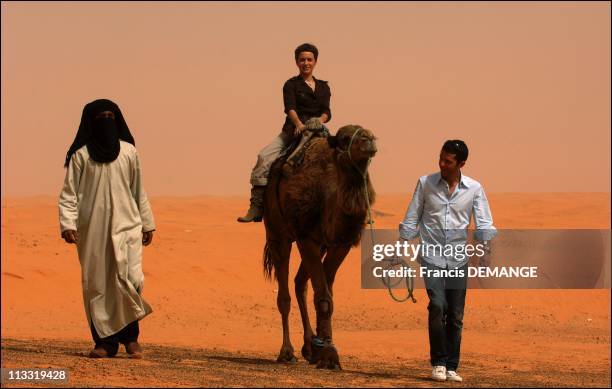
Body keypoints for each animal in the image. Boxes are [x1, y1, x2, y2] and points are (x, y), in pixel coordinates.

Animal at [260, 125, 376, 370]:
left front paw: (326, 349)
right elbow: (323, 297)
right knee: (284, 294)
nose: (368, 139)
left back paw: (309, 348)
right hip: (277, 233)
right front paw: (329, 355)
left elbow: (327, 294)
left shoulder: (338, 243)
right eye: (344, 139)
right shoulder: (306, 237)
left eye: (369, 134)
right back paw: (287, 352)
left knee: (300, 283)